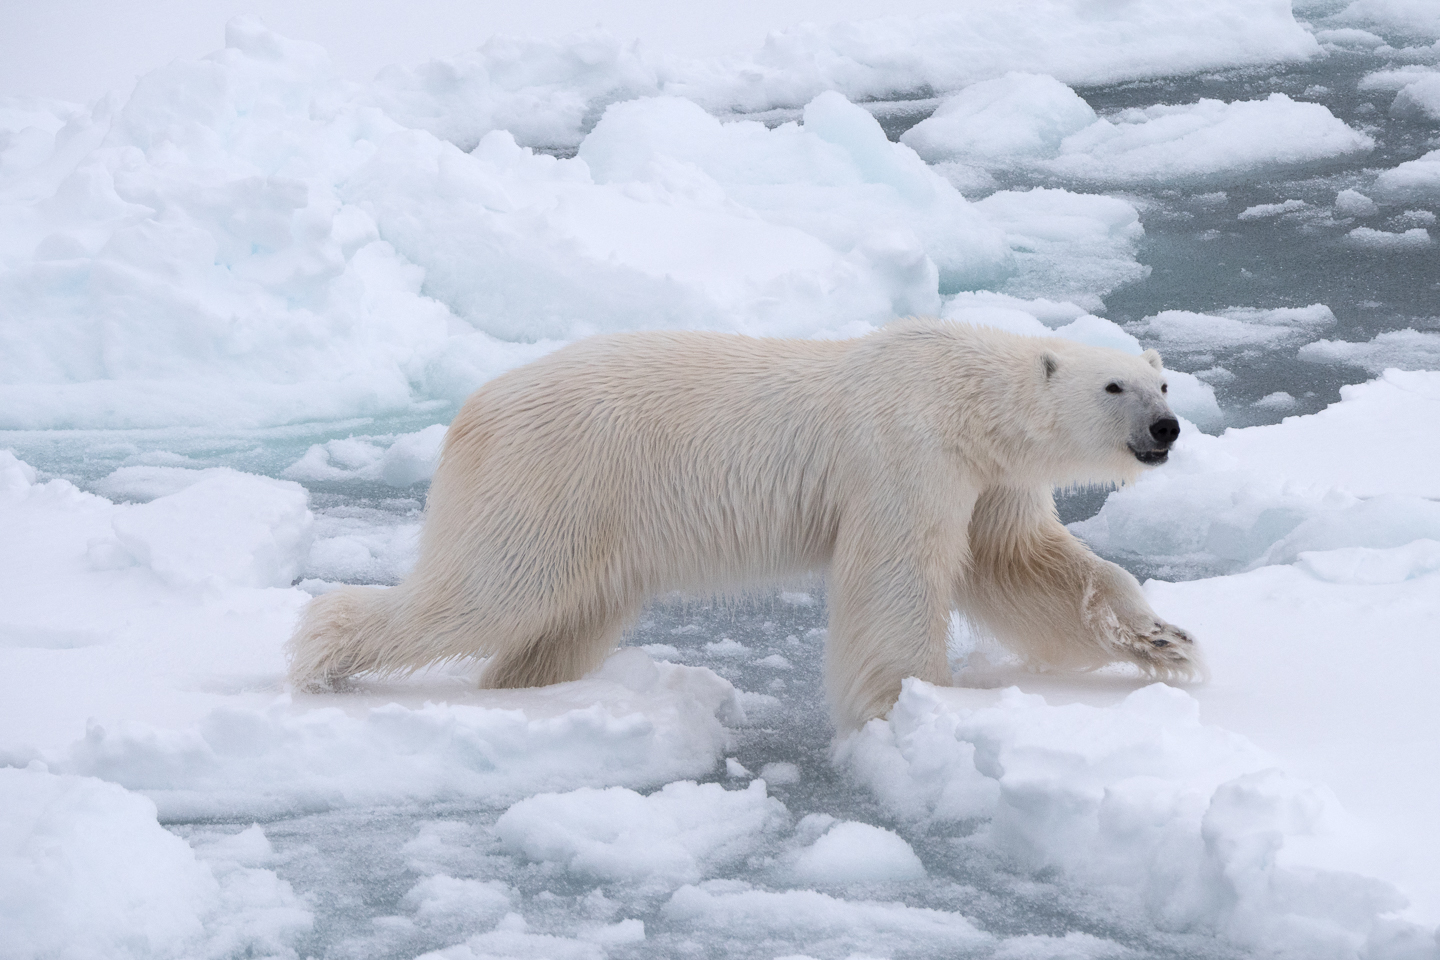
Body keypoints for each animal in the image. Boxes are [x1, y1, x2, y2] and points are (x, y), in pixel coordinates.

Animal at [287, 320, 1200, 729]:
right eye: (1114, 387)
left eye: (1163, 384)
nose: (1165, 430)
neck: (961, 392)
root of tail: (471, 410)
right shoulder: (907, 453)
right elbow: (899, 577)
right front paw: (904, 703)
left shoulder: (989, 480)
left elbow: (1022, 563)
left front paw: (1164, 640)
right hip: (548, 479)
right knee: (489, 588)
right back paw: (321, 663)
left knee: (563, 617)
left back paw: (529, 687)